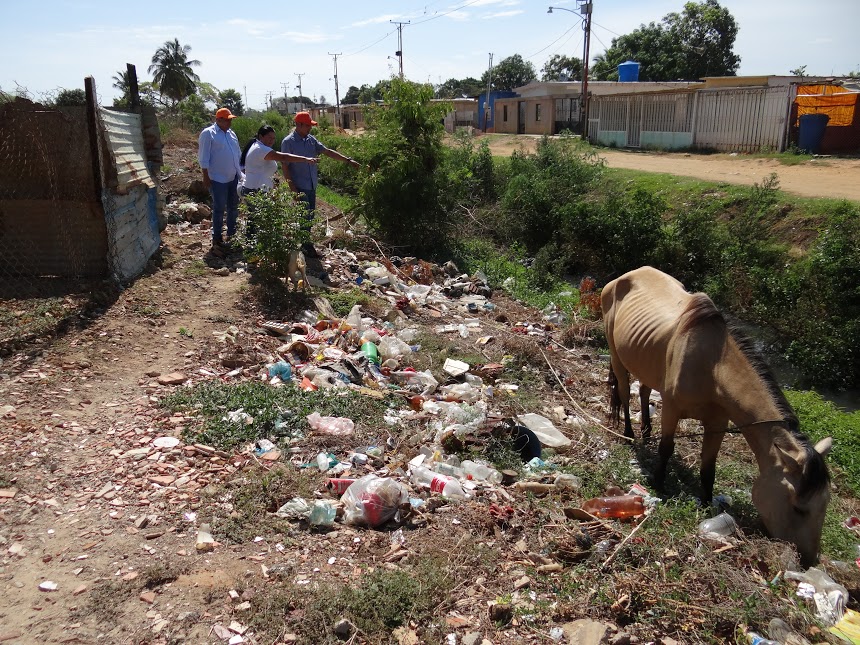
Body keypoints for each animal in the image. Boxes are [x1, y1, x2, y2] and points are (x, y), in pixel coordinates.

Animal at [600, 266, 828, 564]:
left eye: (825, 504)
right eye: (799, 508)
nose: (809, 559)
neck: (714, 367)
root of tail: (622, 277)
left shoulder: (719, 422)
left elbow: (709, 468)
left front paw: (707, 502)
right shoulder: (672, 408)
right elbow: (666, 448)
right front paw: (659, 483)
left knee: (645, 390)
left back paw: (647, 432)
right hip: (616, 353)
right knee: (625, 393)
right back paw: (629, 432)